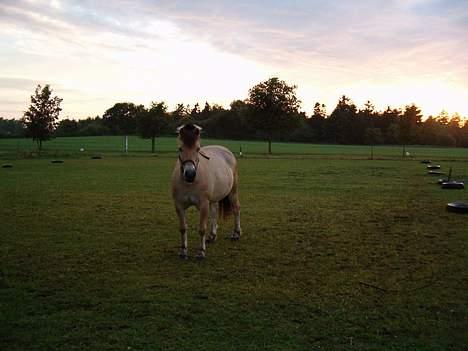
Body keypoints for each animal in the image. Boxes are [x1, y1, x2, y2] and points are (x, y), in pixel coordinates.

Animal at [171, 124, 241, 258]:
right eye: (180, 149)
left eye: (198, 149)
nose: (190, 174)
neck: (190, 183)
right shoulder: (179, 206)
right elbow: (183, 228)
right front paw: (183, 251)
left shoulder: (203, 205)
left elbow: (202, 229)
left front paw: (201, 252)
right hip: (214, 198)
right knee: (214, 211)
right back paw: (212, 236)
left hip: (233, 192)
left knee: (236, 208)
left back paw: (236, 234)